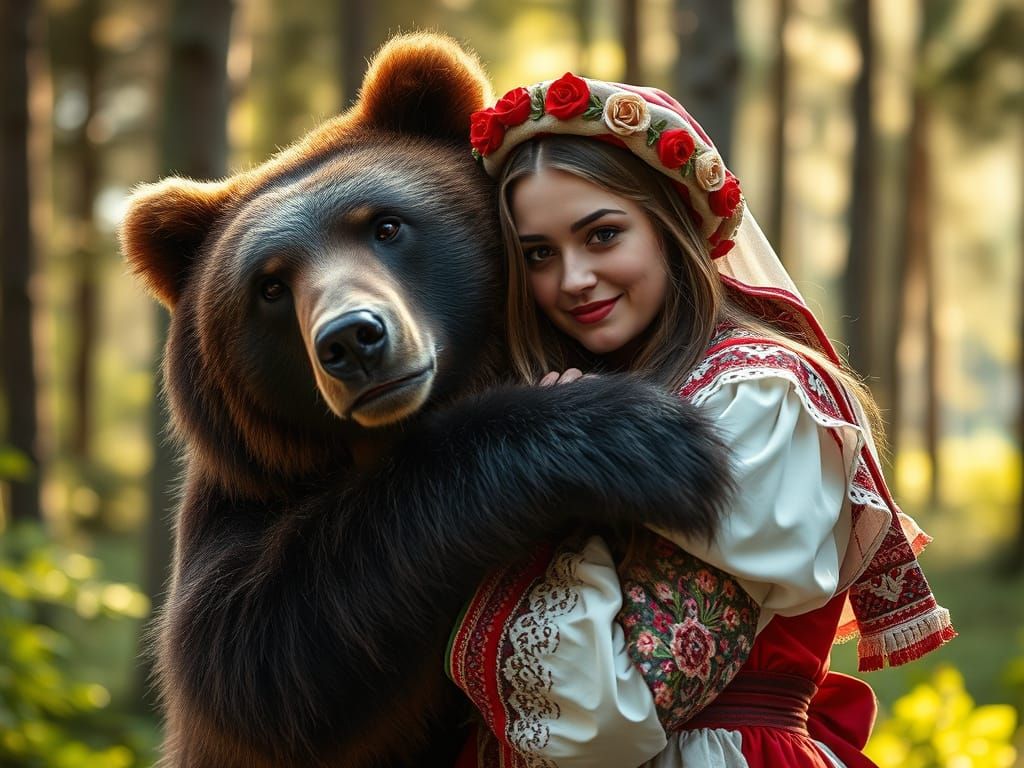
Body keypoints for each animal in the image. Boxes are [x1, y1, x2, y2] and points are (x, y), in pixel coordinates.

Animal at [120, 33, 733, 768]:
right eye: (269, 285)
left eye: (385, 225)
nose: (352, 339)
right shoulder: (245, 503)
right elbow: (254, 655)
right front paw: (647, 439)